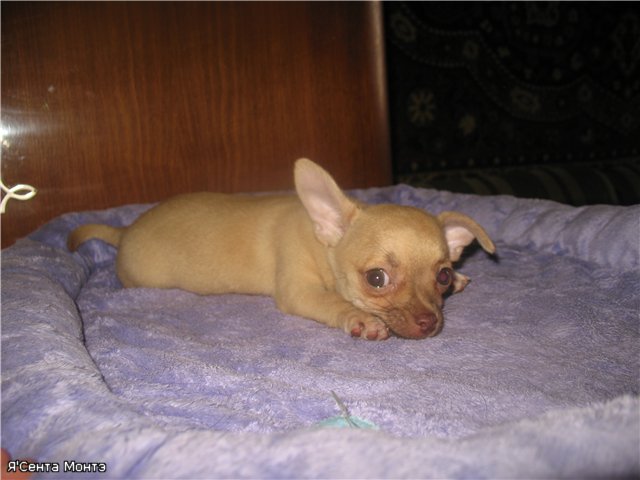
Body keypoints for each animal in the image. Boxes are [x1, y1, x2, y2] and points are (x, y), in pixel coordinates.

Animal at [68, 158, 495, 340]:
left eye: (441, 275)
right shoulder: (299, 291)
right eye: (377, 279)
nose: (429, 323)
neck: (322, 239)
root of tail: (123, 231)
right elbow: (333, 302)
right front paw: (361, 318)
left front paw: (461, 278)